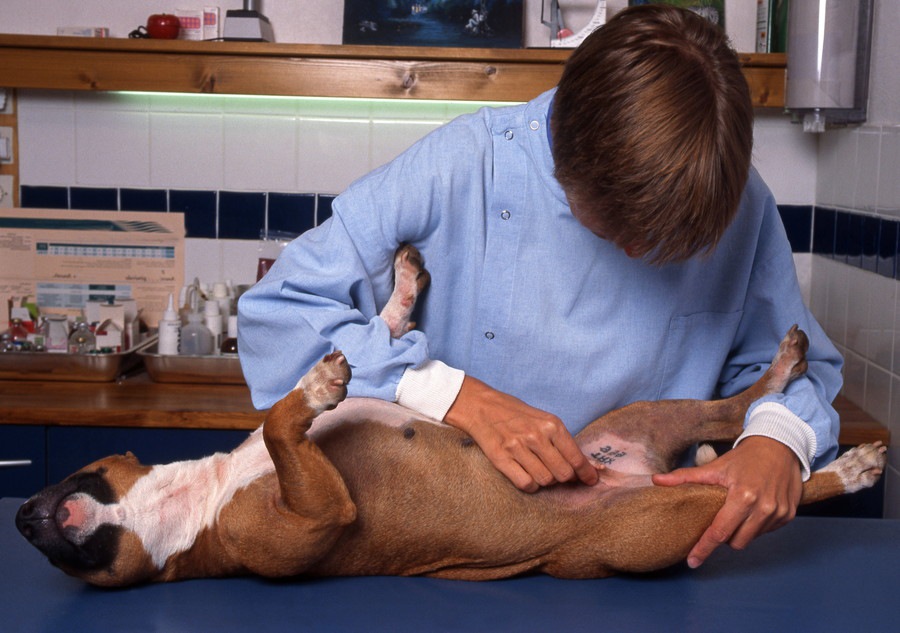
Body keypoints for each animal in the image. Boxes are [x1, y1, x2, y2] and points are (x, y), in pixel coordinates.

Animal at [14, 247, 884, 588]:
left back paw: (783, 372)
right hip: (665, 519)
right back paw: (845, 468)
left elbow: (383, 330)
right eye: (75, 563)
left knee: (732, 410)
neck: (188, 507)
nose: (24, 517)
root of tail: (637, 478)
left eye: (79, 469)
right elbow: (284, 421)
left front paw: (398, 297)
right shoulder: (316, 515)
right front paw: (317, 384)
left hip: (650, 413)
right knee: (753, 486)